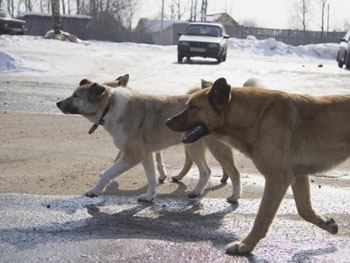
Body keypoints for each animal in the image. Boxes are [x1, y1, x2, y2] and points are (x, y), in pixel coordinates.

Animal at [166, 78, 342, 256]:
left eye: (192, 107)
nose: (167, 122)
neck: (258, 116)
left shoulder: (277, 178)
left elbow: (262, 218)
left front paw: (246, 245)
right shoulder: (298, 176)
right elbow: (304, 209)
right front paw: (327, 223)